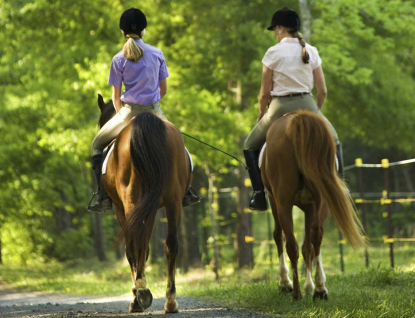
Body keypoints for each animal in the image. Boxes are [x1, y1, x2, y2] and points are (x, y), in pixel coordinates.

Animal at [96, 94, 191, 314]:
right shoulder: (153, 207)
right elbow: (146, 245)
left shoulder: (120, 208)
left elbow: (134, 246)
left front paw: (137, 295)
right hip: (173, 200)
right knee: (171, 244)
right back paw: (170, 301)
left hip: (131, 199)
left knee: (134, 240)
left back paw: (140, 292)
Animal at [262, 111, 366, 300]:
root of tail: (298, 118)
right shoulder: (312, 205)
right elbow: (308, 245)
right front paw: (311, 286)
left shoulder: (275, 200)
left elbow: (281, 237)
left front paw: (286, 282)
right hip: (320, 199)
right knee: (314, 236)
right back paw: (319, 289)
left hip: (283, 202)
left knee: (291, 243)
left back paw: (297, 292)